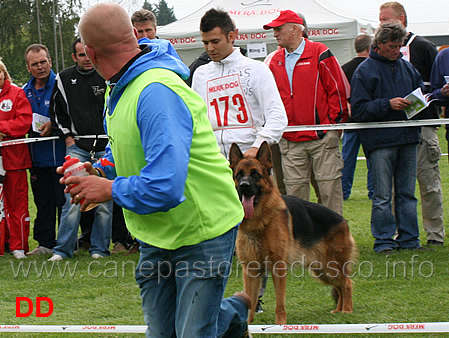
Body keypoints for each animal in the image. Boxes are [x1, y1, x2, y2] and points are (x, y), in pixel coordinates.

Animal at [229, 141, 356, 324]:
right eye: (239, 175)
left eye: (255, 174)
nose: (244, 186)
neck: (260, 220)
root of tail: (342, 220)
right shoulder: (251, 270)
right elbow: (250, 300)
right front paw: (247, 324)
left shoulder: (278, 267)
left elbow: (280, 302)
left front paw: (280, 324)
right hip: (321, 270)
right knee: (339, 286)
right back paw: (338, 310)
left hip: (330, 267)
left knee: (347, 284)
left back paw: (347, 310)